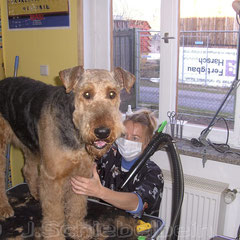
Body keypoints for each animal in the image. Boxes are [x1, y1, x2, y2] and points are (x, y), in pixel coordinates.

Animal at [0, 64, 135, 239]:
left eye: (112, 94)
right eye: (86, 94)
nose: (102, 132)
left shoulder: (81, 174)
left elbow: (77, 206)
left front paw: (77, 230)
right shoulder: (52, 177)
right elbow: (55, 215)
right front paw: (55, 236)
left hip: (31, 144)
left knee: (28, 169)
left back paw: (36, 193)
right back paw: (5, 208)